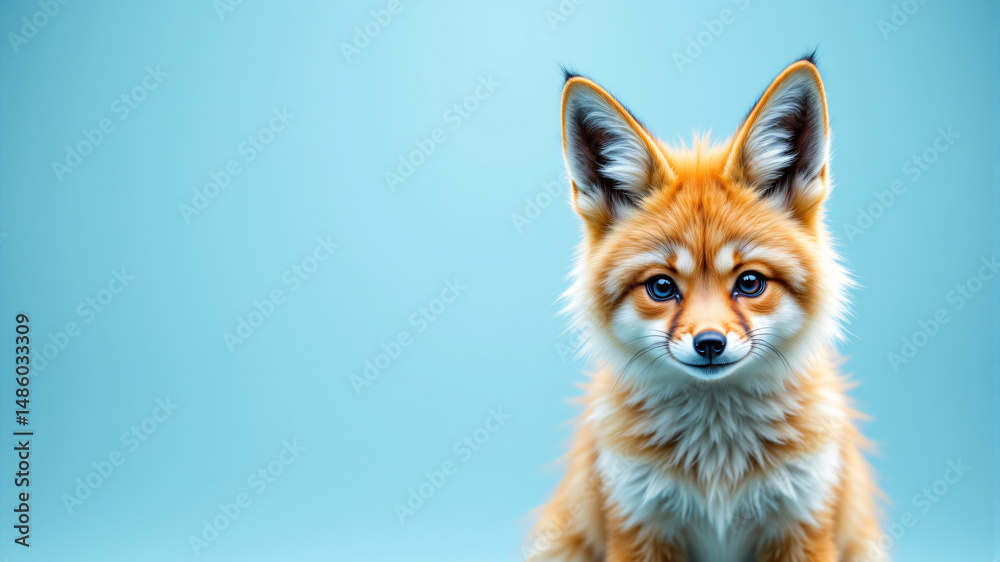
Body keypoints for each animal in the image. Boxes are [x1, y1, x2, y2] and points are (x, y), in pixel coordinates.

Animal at [525, 56, 886, 562]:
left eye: (749, 283)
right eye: (661, 287)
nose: (710, 343)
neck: (718, 468)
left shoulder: (804, 522)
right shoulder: (637, 523)